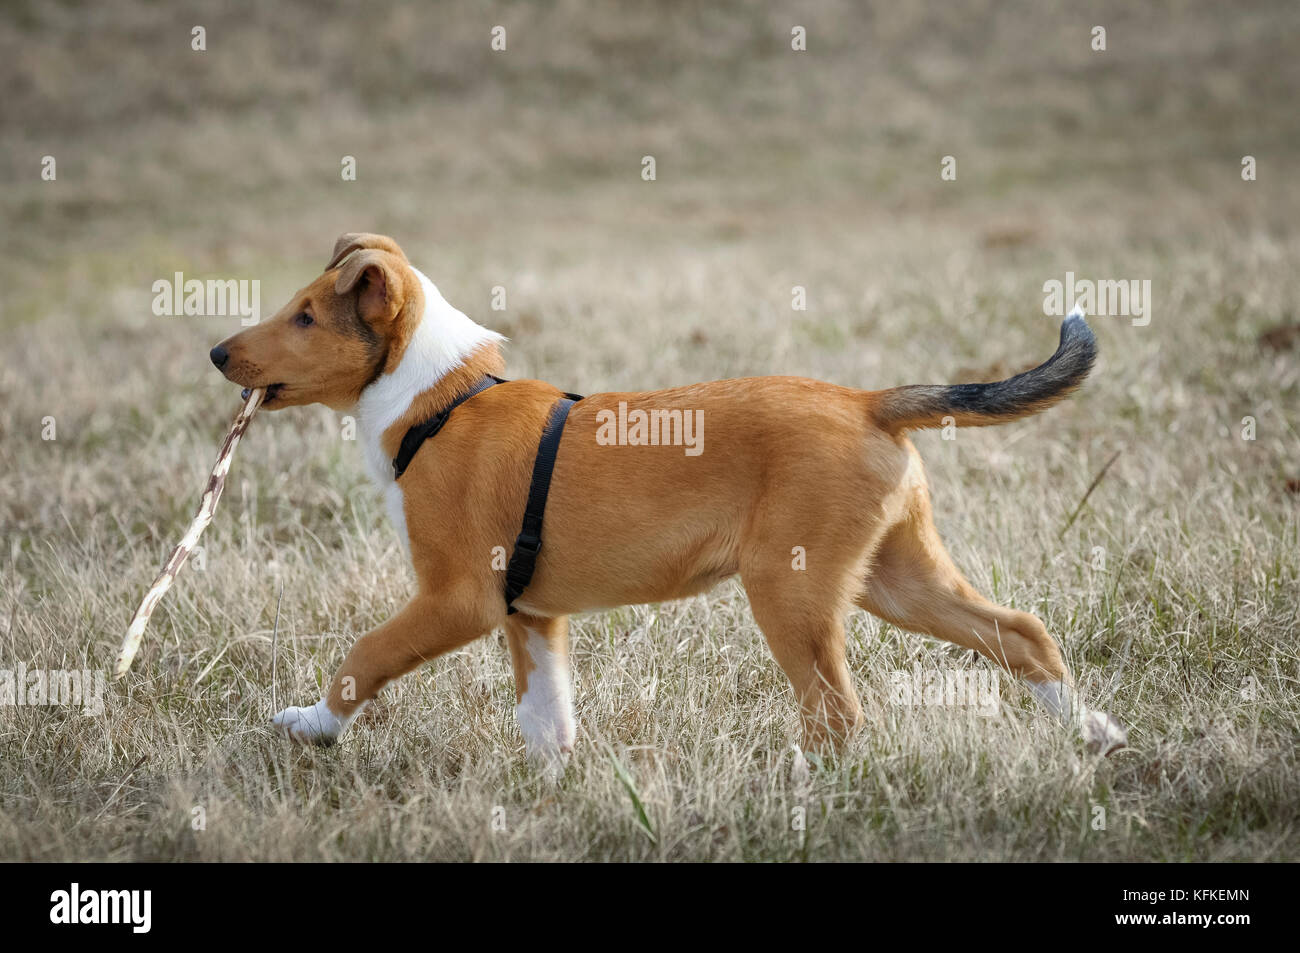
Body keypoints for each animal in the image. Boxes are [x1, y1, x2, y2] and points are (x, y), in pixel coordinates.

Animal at [210, 234, 1128, 769]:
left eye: (305, 317)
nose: (218, 352)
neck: (442, 401)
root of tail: (868, 400)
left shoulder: (457, 598)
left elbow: (363, 657)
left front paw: (311, 725)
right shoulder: (530, 613)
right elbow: (546, 714)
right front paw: (551, 791)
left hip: (790, 591)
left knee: (839, 713)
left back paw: (807, 790)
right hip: (895, 578)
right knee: (1021, 631)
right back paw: (1094, 733)